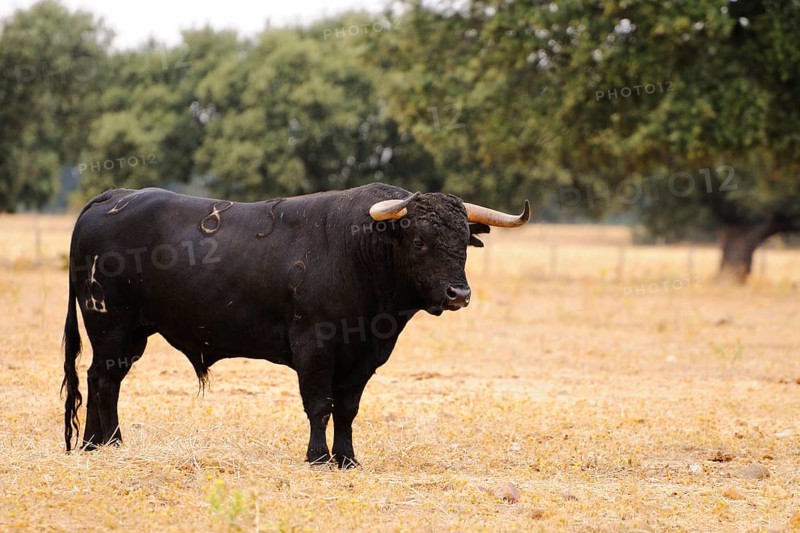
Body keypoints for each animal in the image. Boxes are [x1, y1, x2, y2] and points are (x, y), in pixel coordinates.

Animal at [62, 183, 529, 468]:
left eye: (464, 241)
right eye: (419, 241)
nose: (458, 294)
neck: (357, 251)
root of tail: (115, 195)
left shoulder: (363, 356)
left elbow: (347, 408)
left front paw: (347, 458)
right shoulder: (314, 345)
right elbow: (319, 404)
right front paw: (318, 457)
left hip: (131, 332)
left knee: (105, 379)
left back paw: (100, 442)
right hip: (110, 324)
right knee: (103, 379)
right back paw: (103, 442)